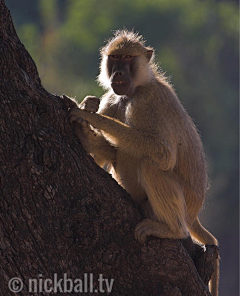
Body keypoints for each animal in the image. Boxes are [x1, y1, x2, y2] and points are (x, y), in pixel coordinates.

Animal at [68, 30, 218, 296]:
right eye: (114, 58)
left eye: (128, 58)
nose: (117, 73)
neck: (133, 92)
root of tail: (193, 215)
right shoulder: (113, 100)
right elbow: (108, 153)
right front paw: (85, 123)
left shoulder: (147, 103)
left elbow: (163, 154)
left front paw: (91, 117)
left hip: (178, 204)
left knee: (150, 165)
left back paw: (173, 230)